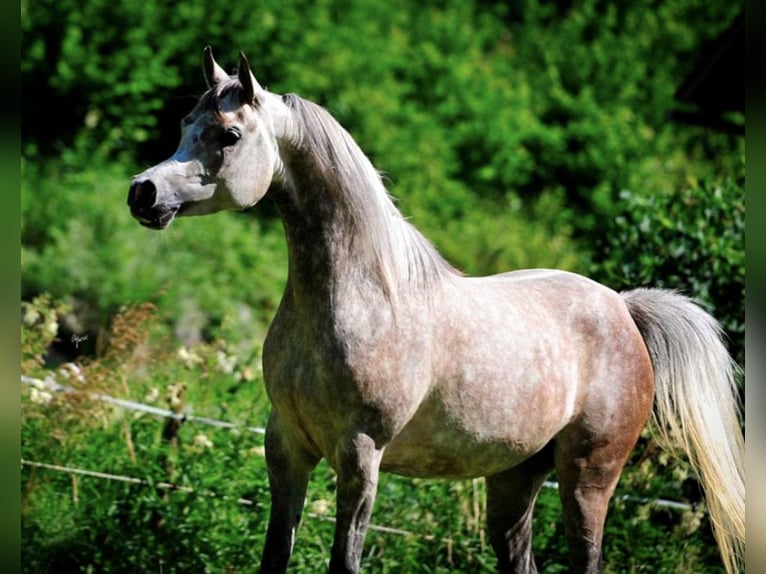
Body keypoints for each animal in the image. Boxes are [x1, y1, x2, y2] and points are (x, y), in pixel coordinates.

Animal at [129, 49, 748, 574]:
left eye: (230, 134)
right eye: (186, 125)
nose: (143, 192)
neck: (360, 300)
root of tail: (622, 307)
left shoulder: (360, 457)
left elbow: (344, 560)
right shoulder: (286, 448)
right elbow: (274, 556)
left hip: (588, 478)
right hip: (515, 478)